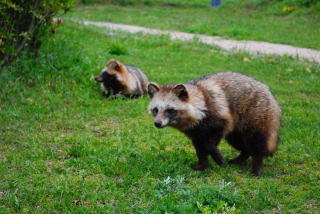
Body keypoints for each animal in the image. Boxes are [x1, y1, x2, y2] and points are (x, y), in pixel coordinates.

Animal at [148, 72, 280, 177]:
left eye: (169, 110)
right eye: (155, 110)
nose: (157, 123)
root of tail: (271, 97)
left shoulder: (219, 117)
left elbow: (209, 144)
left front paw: (217, 157)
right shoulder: (196, 131)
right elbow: (199, 148)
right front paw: (202, 165)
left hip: (256, 116)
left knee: (256, 144)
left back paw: (256, 167)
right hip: (236, 133)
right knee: (242, 144)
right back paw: (242, 157)